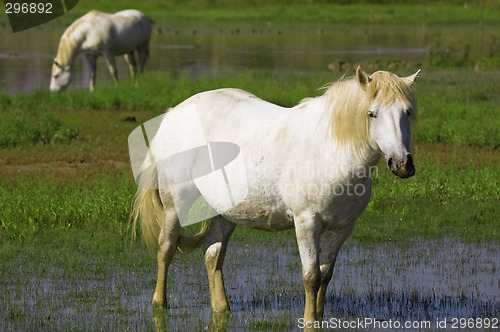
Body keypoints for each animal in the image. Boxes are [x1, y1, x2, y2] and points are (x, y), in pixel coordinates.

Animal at [131, 66, 420, 326]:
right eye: (372, 114)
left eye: (407, 112)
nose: (402, 164)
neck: (330, 151)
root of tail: (174, 113)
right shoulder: (306, 223)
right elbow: (311, 277)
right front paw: (309, 320)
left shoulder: (342, 228)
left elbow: (325, 275)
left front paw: (319, 316)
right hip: (175, 204)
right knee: (166, 249)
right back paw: (159, 304)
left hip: (226, 213)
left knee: (213, 253)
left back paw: (221, 309)